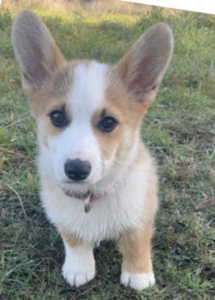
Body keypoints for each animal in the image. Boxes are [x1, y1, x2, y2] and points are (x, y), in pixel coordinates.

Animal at [12, 9, 173, 290]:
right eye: (57, 117)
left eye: (108, 122)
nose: (76, 169)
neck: (91, 195)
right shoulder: (62, 213)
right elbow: (74, 238)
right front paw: (79, 268)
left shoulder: (142, 208)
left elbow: (137, 240)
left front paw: (138, 273)